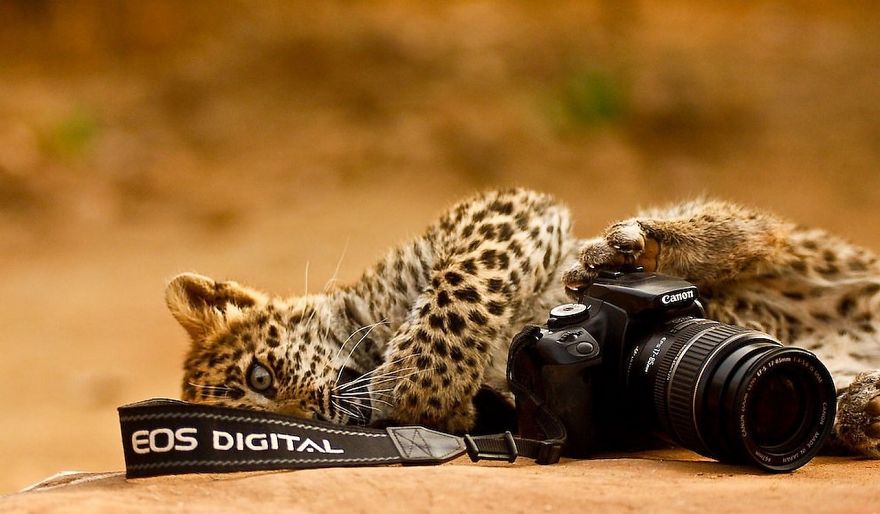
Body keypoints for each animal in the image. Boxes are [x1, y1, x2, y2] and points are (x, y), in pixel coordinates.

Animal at [166, 188, 880, 459]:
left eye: (262, 376)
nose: (315, 412)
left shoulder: (504, 211)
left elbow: (459, 287)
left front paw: (414, 387)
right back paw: (864, 408)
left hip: (797, 253)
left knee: (751, 231)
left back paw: (634, 246)